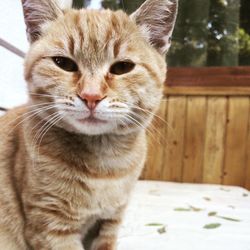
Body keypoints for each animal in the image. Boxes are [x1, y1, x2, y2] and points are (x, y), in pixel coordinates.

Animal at [0, 0, 178, 249]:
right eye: (63, 63)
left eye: (122, 67)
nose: (91, 96)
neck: (104, 167)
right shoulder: (51, 226)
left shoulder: (109, 222)